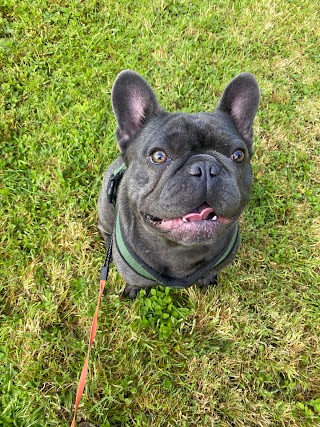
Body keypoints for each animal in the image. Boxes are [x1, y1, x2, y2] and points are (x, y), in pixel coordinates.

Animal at [97, 69, 260, 298]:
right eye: (158, 156)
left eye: (238, 155)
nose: (204, 166)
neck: (181, 249)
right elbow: (136, 283)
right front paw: (134, 291)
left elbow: (210, 272)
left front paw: (207, 280)